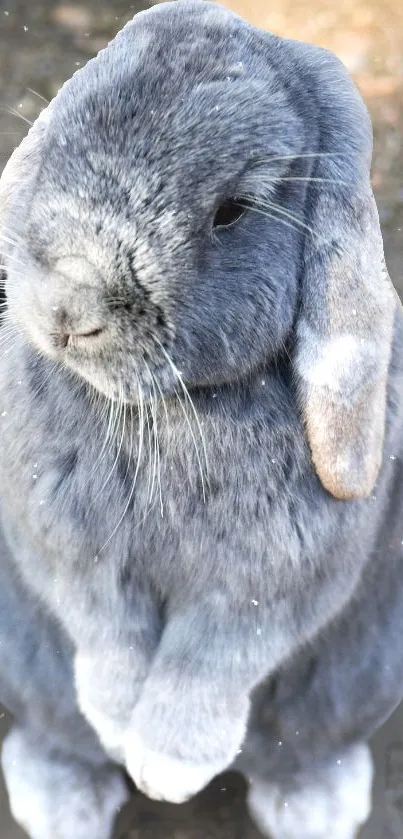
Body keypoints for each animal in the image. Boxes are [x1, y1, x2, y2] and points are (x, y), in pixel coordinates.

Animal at [0, 1, 403, 839]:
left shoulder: (264, 586)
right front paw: (119, 728)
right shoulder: (69, 555)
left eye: (231, 211)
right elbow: (107, 632)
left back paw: (314, 806)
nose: (68, 307)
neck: (161, 410)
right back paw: (63, 802)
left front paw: (167, 769)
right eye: (65, 128)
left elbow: (209, 659)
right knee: (52, 736)